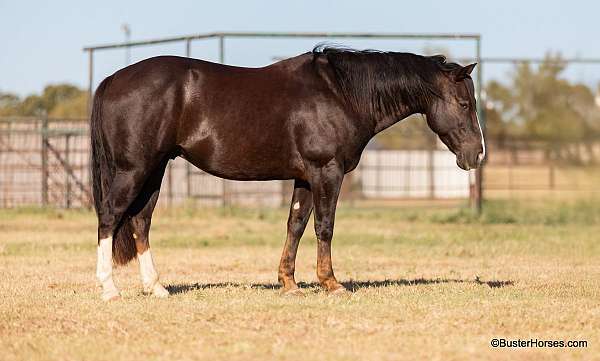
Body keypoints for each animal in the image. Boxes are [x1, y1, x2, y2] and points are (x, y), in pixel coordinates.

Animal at [91, 45, 486, 300]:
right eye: (464, 103)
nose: (477, 155)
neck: (339, 94)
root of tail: (113, 79)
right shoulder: (327, 171)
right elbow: (324, 226)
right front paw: (331, 282)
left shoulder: (305, 177)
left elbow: (295, 224)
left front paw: (289, 282)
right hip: (133, 170)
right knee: (110, 217)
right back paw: (109, 289)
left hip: (153, 171)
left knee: (140, 221)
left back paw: (156, 287)